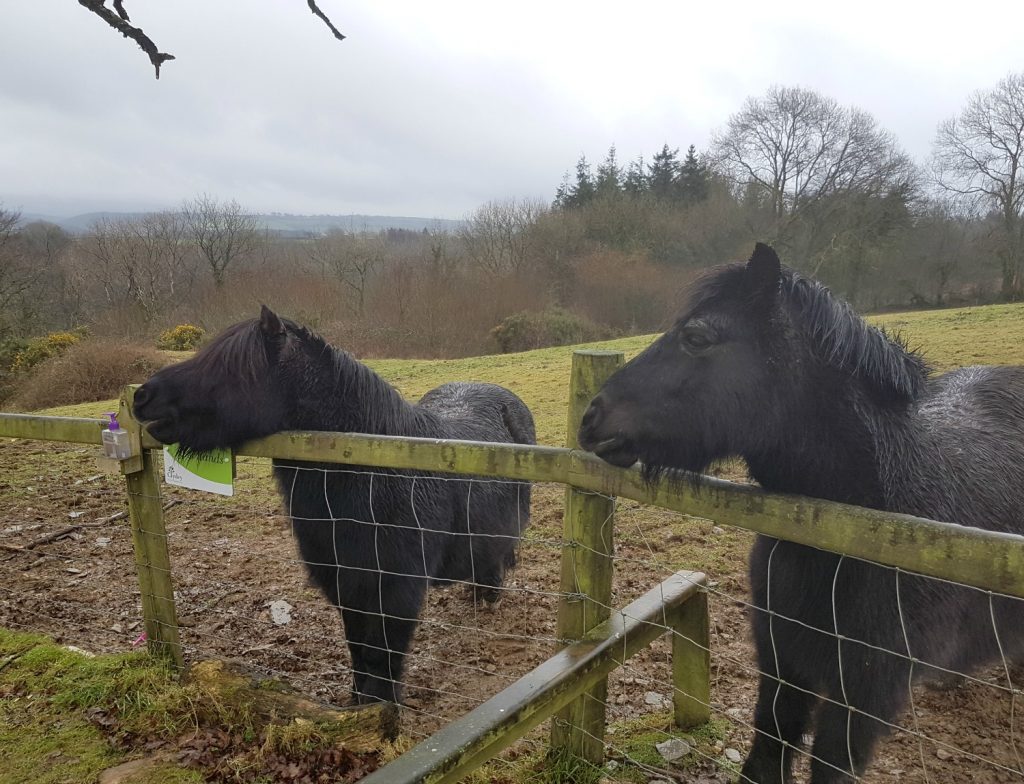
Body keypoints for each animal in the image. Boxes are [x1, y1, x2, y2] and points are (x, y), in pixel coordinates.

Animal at [133, 306, 535, 706]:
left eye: (229, 367)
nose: (142, 396)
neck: (376, 476)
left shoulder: (397, 594)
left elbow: (384, 656)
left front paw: (383, 710)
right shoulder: (348, 587)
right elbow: (359, 651)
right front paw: (359, 704)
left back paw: (487, 597)